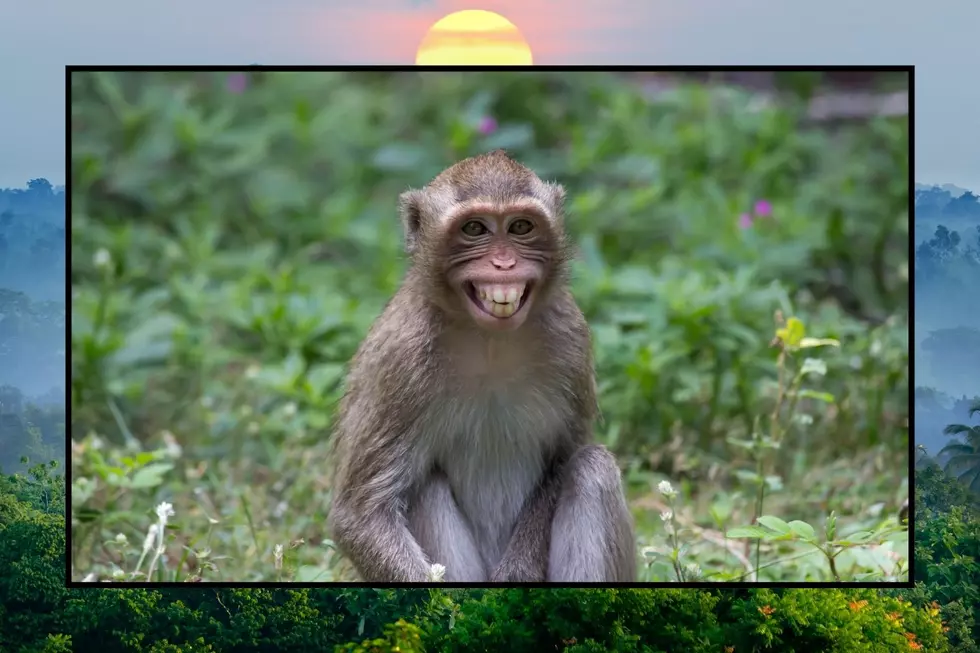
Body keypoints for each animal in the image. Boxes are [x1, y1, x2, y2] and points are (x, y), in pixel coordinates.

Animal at [328, 149, 636, 583]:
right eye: (474, 228)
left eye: (521, 226)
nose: (504, 264)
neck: (490, 342)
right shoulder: (399, 359)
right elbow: (361, 515)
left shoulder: (570, 337)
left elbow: (564, 458)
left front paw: (520, 570)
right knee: (423, 486)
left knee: (593, 468)